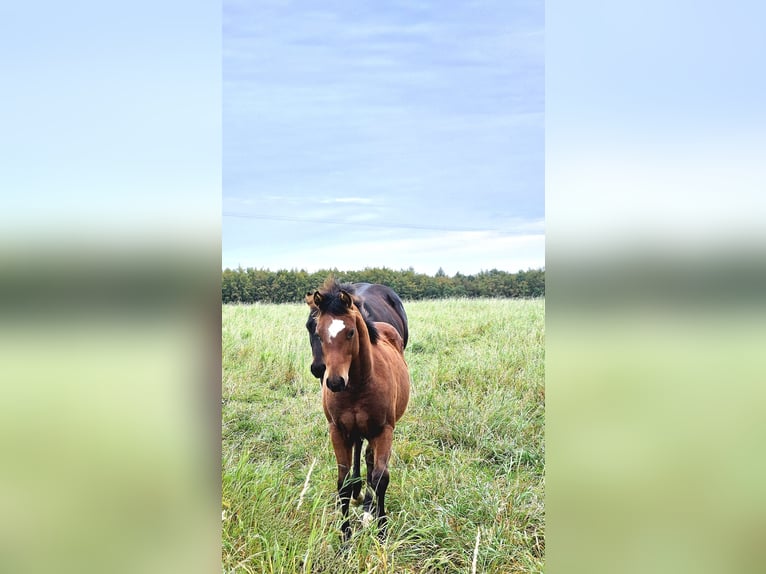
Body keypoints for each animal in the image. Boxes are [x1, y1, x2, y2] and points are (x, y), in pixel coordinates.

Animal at [308, 282, 412, 544]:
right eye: (318, 332)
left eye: (351, 333)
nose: (334, 381)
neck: (357, 387)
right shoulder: (337, 430)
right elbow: (343, 483)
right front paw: (345, 536)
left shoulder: (384, 430)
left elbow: (381, 478)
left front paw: (382, 530)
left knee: (370, 461)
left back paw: (368, 509)